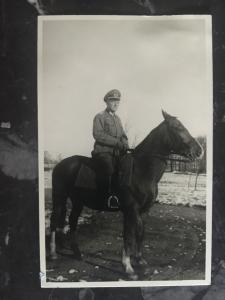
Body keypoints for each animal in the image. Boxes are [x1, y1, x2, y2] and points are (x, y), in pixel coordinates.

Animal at [48, 110, 202, 282]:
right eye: (177, 127)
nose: (199, 150)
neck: (141, 170)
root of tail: (60, 164)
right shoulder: (130, 210)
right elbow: (128, 235)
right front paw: (128, 268)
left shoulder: (143, 210)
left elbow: (140, 233)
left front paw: (139, 259)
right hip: (59, 197)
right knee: (54, 221)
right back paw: (53, 253)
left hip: (78, 201)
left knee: (73, 221)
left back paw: (77, 253)